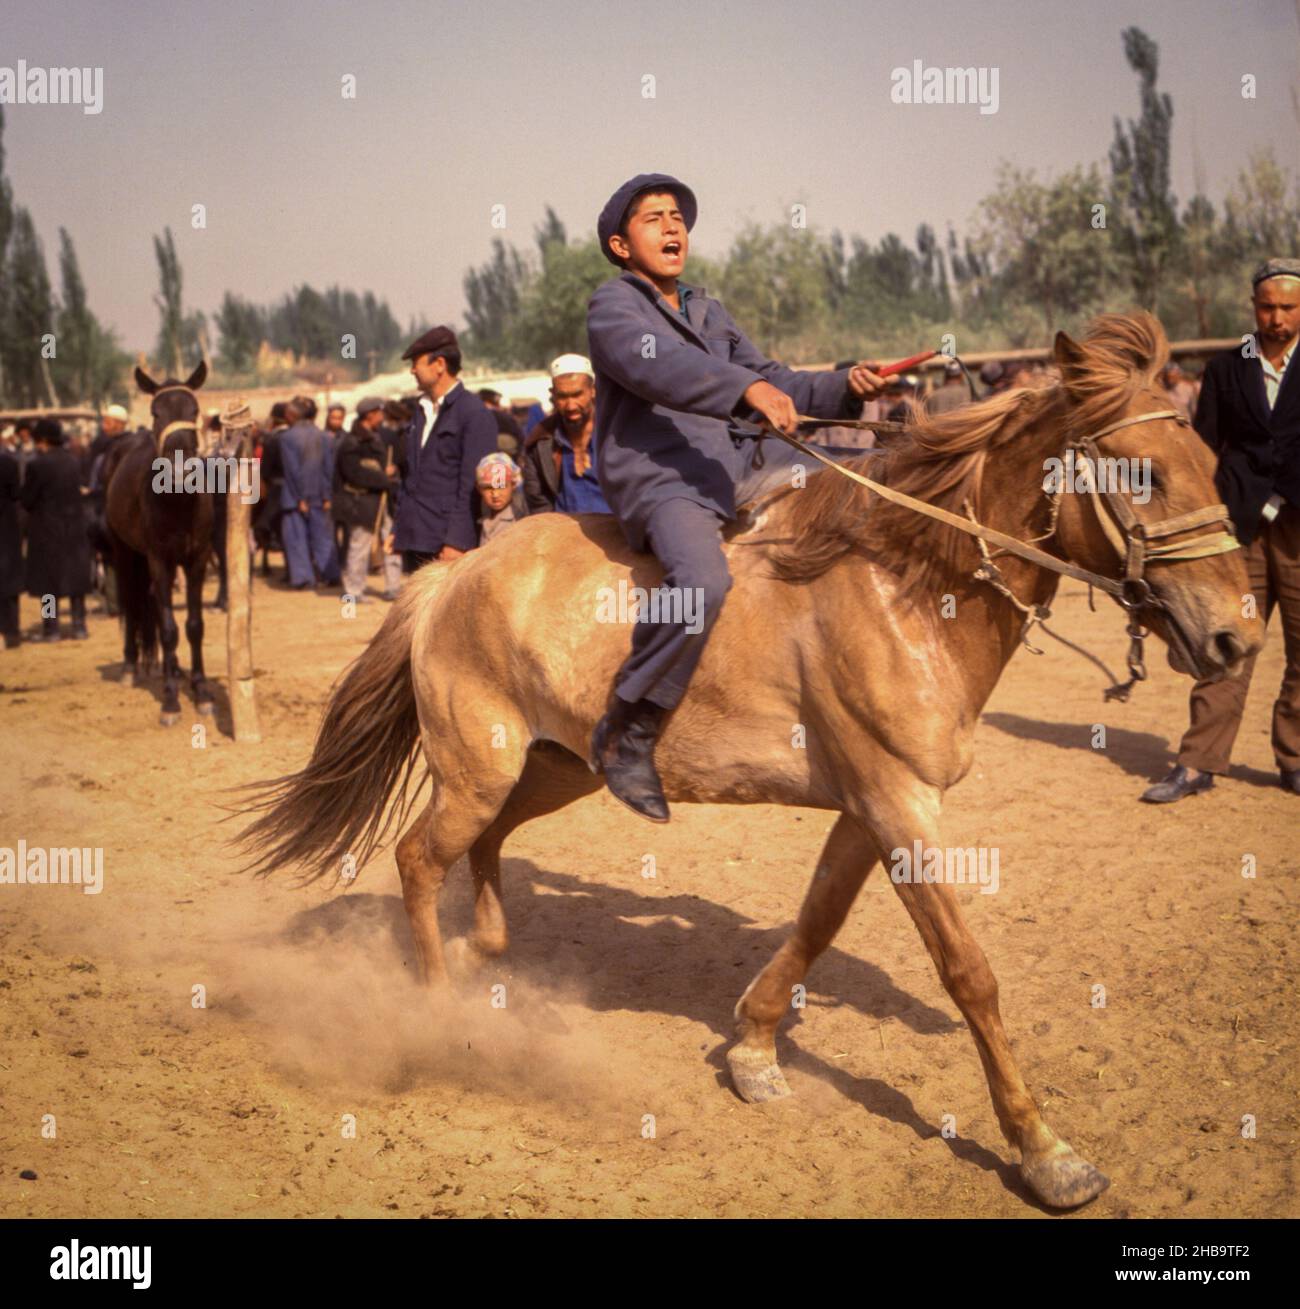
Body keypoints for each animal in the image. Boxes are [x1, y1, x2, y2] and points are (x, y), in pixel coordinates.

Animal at [106, 363, 216, 722]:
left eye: (194, 411)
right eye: (156, 412)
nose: (180, 470)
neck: (177, 501)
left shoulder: (197, 560)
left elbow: (194, 626)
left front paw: (202, 691)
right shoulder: (158, 559)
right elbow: (168, 629)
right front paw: (170, 700)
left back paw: (175, 668)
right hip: (123, 551)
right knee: (131, 602)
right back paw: (131, 666)